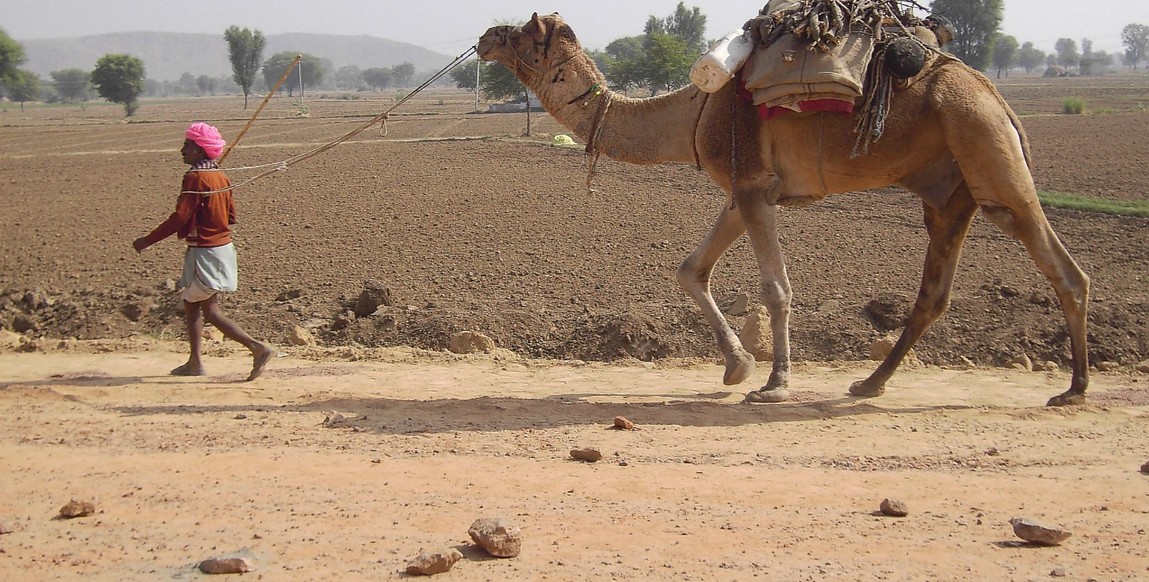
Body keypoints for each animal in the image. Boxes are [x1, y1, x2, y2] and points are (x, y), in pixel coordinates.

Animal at [477, 12, 1093, 406]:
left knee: (1062, 266)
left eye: (523, 33)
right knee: (933, 295)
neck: (694, 112)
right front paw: (736, 367)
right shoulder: (746, 190)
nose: (484, 36)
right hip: (949, 191)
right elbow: (690, 269)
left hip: (987, 153)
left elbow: (775, 289)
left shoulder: (753, 186)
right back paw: (869, 384)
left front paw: (773, 383)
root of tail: (994, 94)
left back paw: (1074, 389)